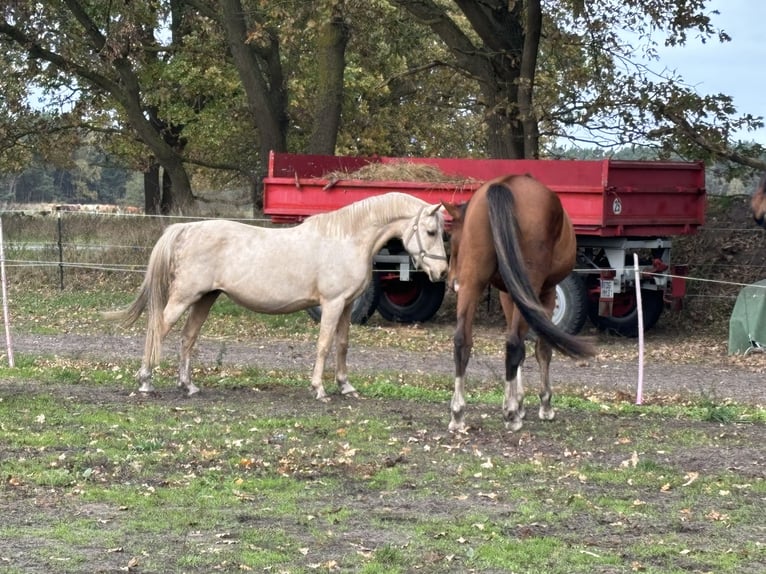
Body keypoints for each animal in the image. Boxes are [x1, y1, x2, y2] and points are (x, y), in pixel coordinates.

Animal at [105, 194, 448, 400]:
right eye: (431, 232)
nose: (442, 272)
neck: (346, 239)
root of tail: (185, 230)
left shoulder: (348, 305)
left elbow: (342, 345)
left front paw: (346, 386)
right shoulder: (332, 304)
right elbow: (324, 345)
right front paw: (319, 389)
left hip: (205, 298)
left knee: (187, 337)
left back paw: (188, 385)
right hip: (185, 297)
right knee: (159, 329)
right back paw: (146, 381)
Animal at [444, 176, 592, 432]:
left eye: (453, 237)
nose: (451, 281)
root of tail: (504, 185)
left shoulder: (508, 295)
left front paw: (516, 400)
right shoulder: (546, 294)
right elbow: (542, 348)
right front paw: (541, 404)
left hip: (472, 281)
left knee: (463, 340)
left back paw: (458, 413)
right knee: (513, 343)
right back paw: (512, 415)